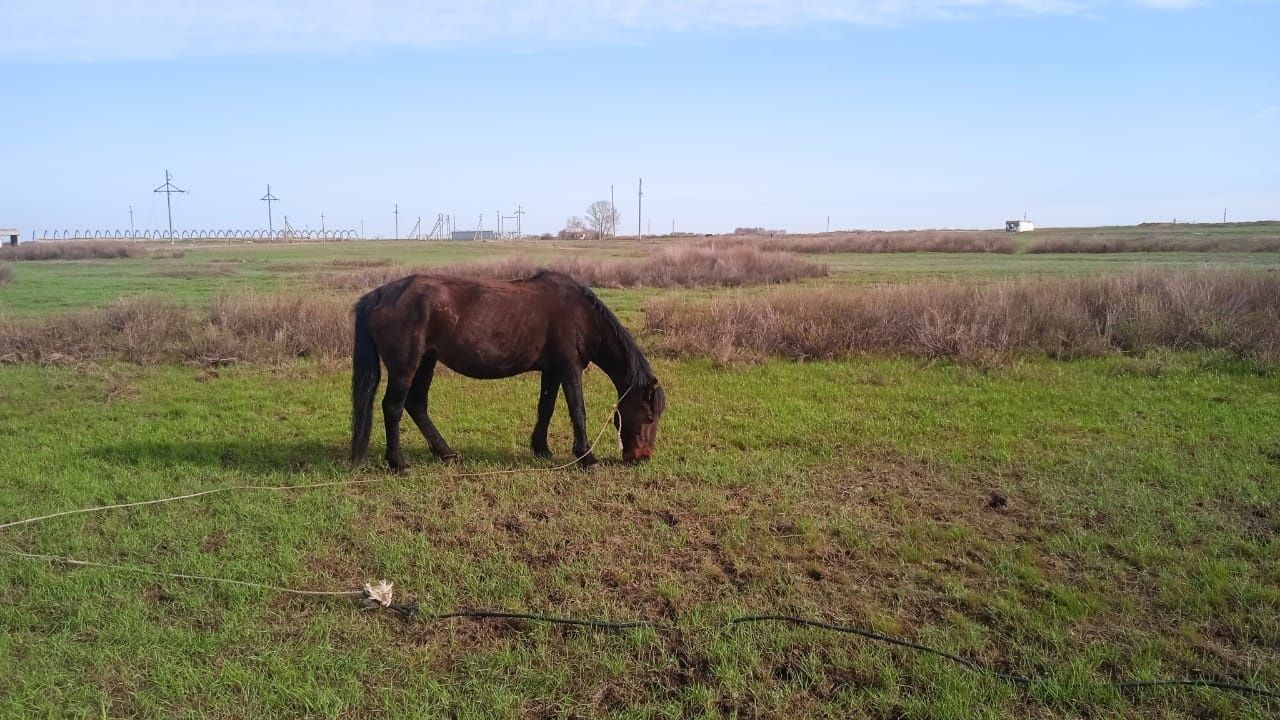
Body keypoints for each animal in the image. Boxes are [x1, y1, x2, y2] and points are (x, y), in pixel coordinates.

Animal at [350, 269, 670, 471]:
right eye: (649, 416)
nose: (642, 456)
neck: (580, 315)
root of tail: (380, 294)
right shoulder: (569, 369)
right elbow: (577, 411)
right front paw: (587, 458)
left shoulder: (552, 371)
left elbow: (546, 408)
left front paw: (541, 449)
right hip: (405, 366)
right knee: (393, 407)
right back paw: (398, 463)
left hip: (427, 361)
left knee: (416, 405)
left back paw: (447, 454)